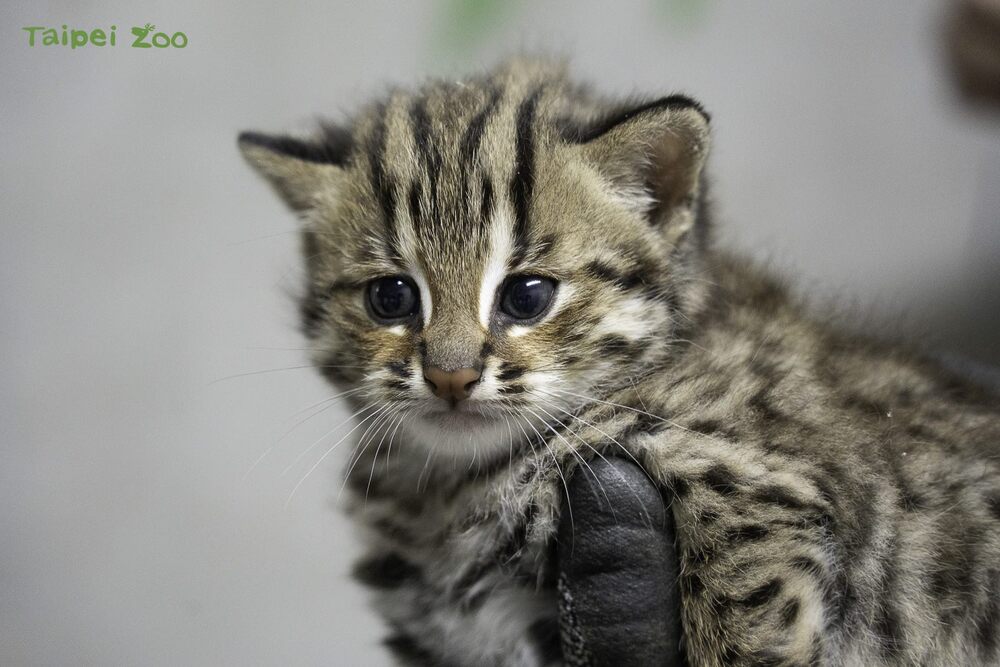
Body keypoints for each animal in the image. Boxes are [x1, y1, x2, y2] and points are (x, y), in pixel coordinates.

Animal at [240, 60, 1000, 664]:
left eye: (527, 296)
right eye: (391, 297)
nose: (451, 376)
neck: (453, 486)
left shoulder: (756, 482)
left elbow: (741, 634)